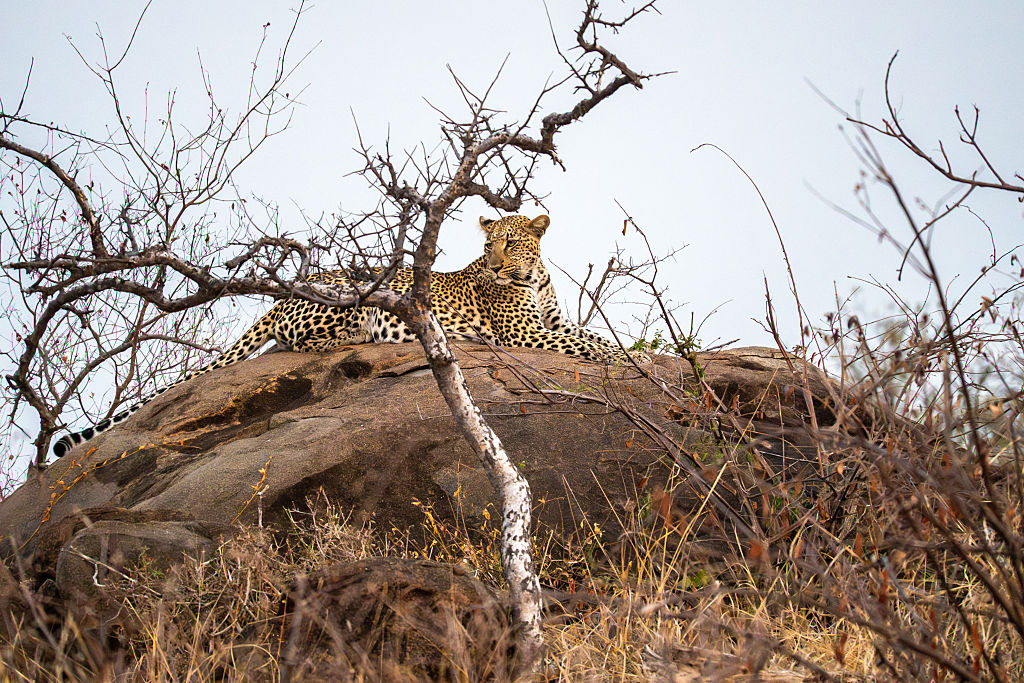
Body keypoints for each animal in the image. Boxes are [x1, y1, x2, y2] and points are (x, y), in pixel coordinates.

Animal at [52, 214, 636, 458]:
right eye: (488, 245)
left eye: (511, 243)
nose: (495, 264)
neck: (531, 275)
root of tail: (280, 296)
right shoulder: (528, 334)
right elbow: (593, 346)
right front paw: (630, 358)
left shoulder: (552, 324)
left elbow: (590, 336)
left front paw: (633, 351)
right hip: (348, 307)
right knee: (300, 341)